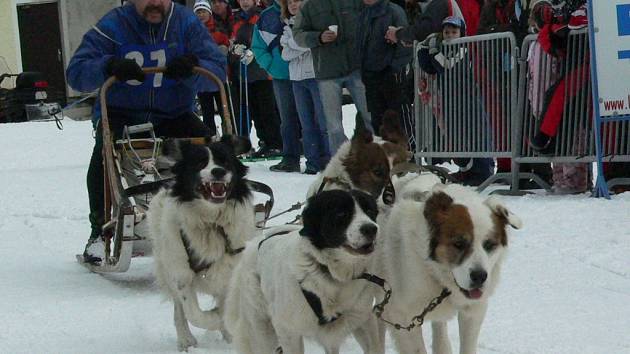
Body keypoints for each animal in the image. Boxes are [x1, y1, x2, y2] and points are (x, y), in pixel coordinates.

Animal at [149, 136, 256, 352]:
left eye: (225, 161)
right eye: (200, 163)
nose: (218, 171)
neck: (212, 223)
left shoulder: (231, 270)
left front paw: (228, 330)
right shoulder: (181, 275)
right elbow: (195, 314)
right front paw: (215, 319)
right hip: (167, 266)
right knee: (179, 310)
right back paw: (185, 340)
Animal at [227, 189, 386, 354]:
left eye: (370, 211)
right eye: (341, 213)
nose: (371, 229)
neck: (330, 272)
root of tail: (254, 245)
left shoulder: (363, 321)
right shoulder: (287, 329)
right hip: (262, 331)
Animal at [376, 183, 524, 354]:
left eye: (489, 245)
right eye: (459, 244)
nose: (479, 276)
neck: (434, 271)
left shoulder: (473, 311)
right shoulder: (402, 318)